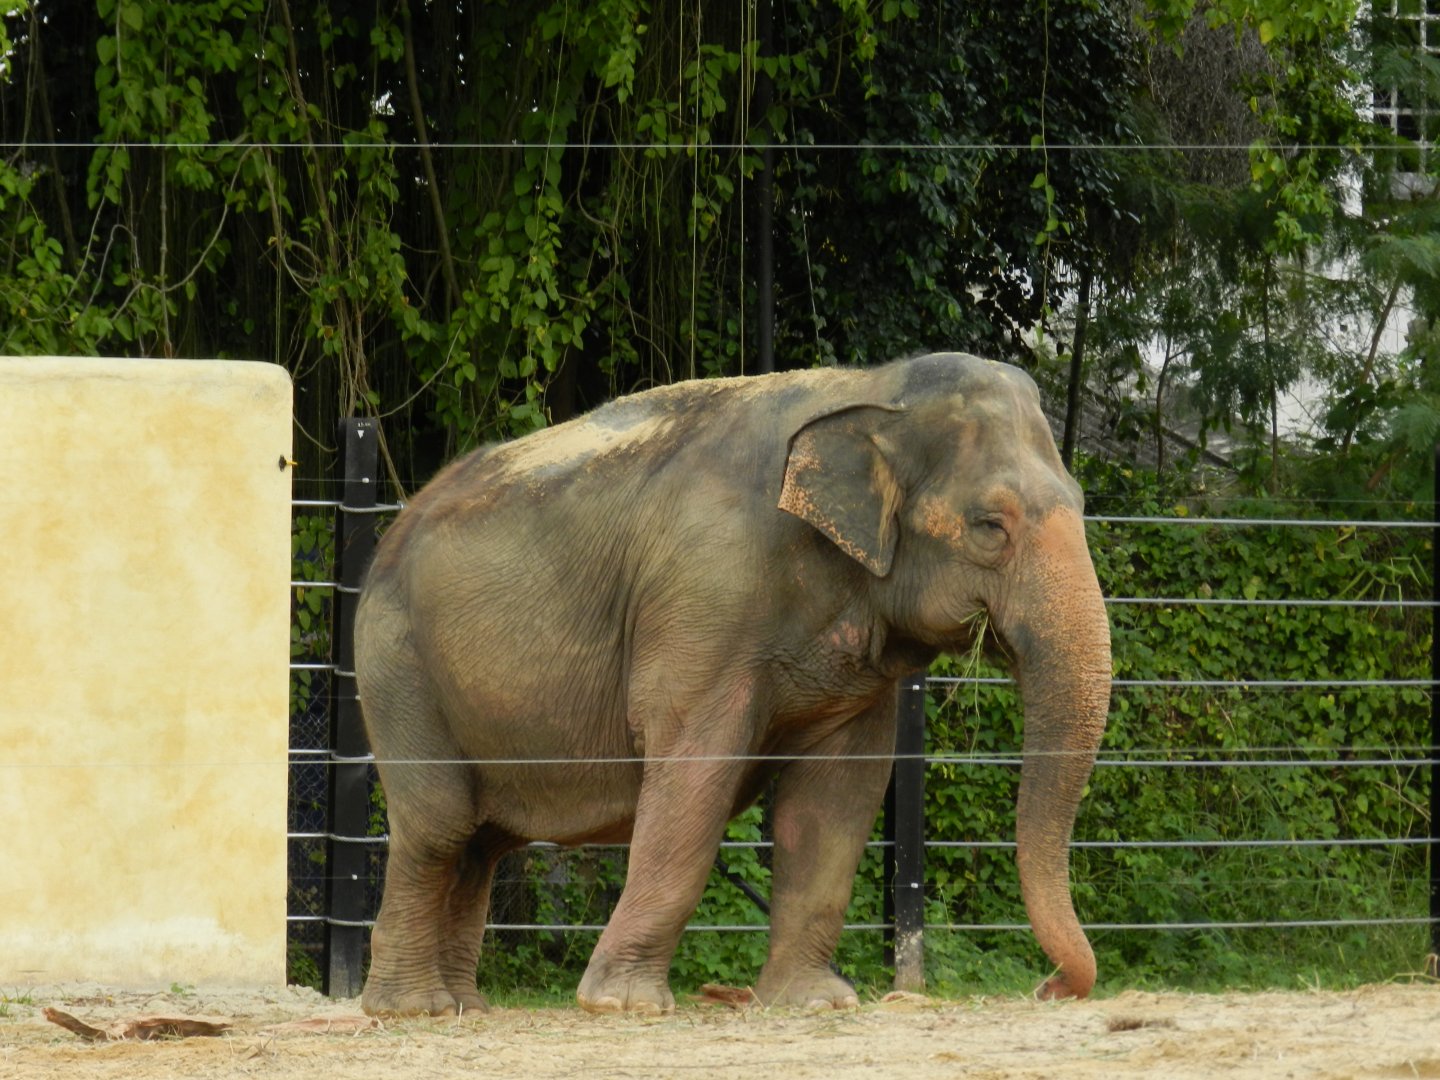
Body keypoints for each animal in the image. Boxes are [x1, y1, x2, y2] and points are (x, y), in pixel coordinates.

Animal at [353, 351, 1112, 1016]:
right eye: (990, 525)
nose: (1048, 986)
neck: (869, 388)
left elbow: (838, 792)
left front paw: (813, 1003)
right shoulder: (705, 593)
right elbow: (697, 767)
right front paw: (624, 1005)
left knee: (479, 842)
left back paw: (466, 1007)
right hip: (396, 663)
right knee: (441, 827)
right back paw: (412, 1010)